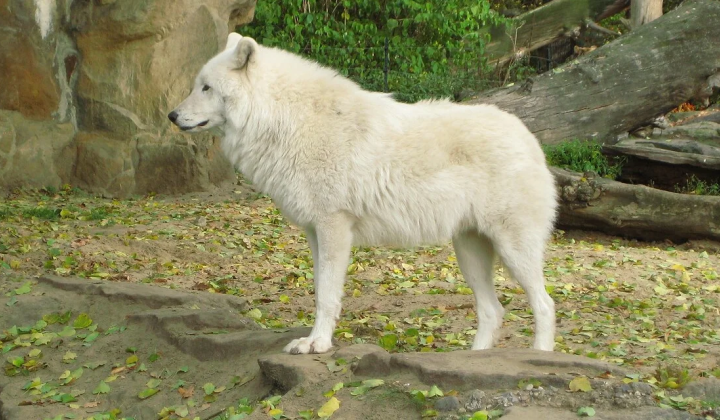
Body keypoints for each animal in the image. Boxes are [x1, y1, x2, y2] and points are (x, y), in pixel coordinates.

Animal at [169, 33, 558, 354]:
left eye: (206, 88)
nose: (172, 115)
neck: (287, 121)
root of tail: (530, 137)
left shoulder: (334, 228)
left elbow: (326, 296)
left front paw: (317, 344)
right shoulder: (315, 233)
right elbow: (320, 291)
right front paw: (315, 339)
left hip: (512, 249)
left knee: (544, 304)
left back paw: (540, 356)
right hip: (469, 252)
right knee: (493, 310)